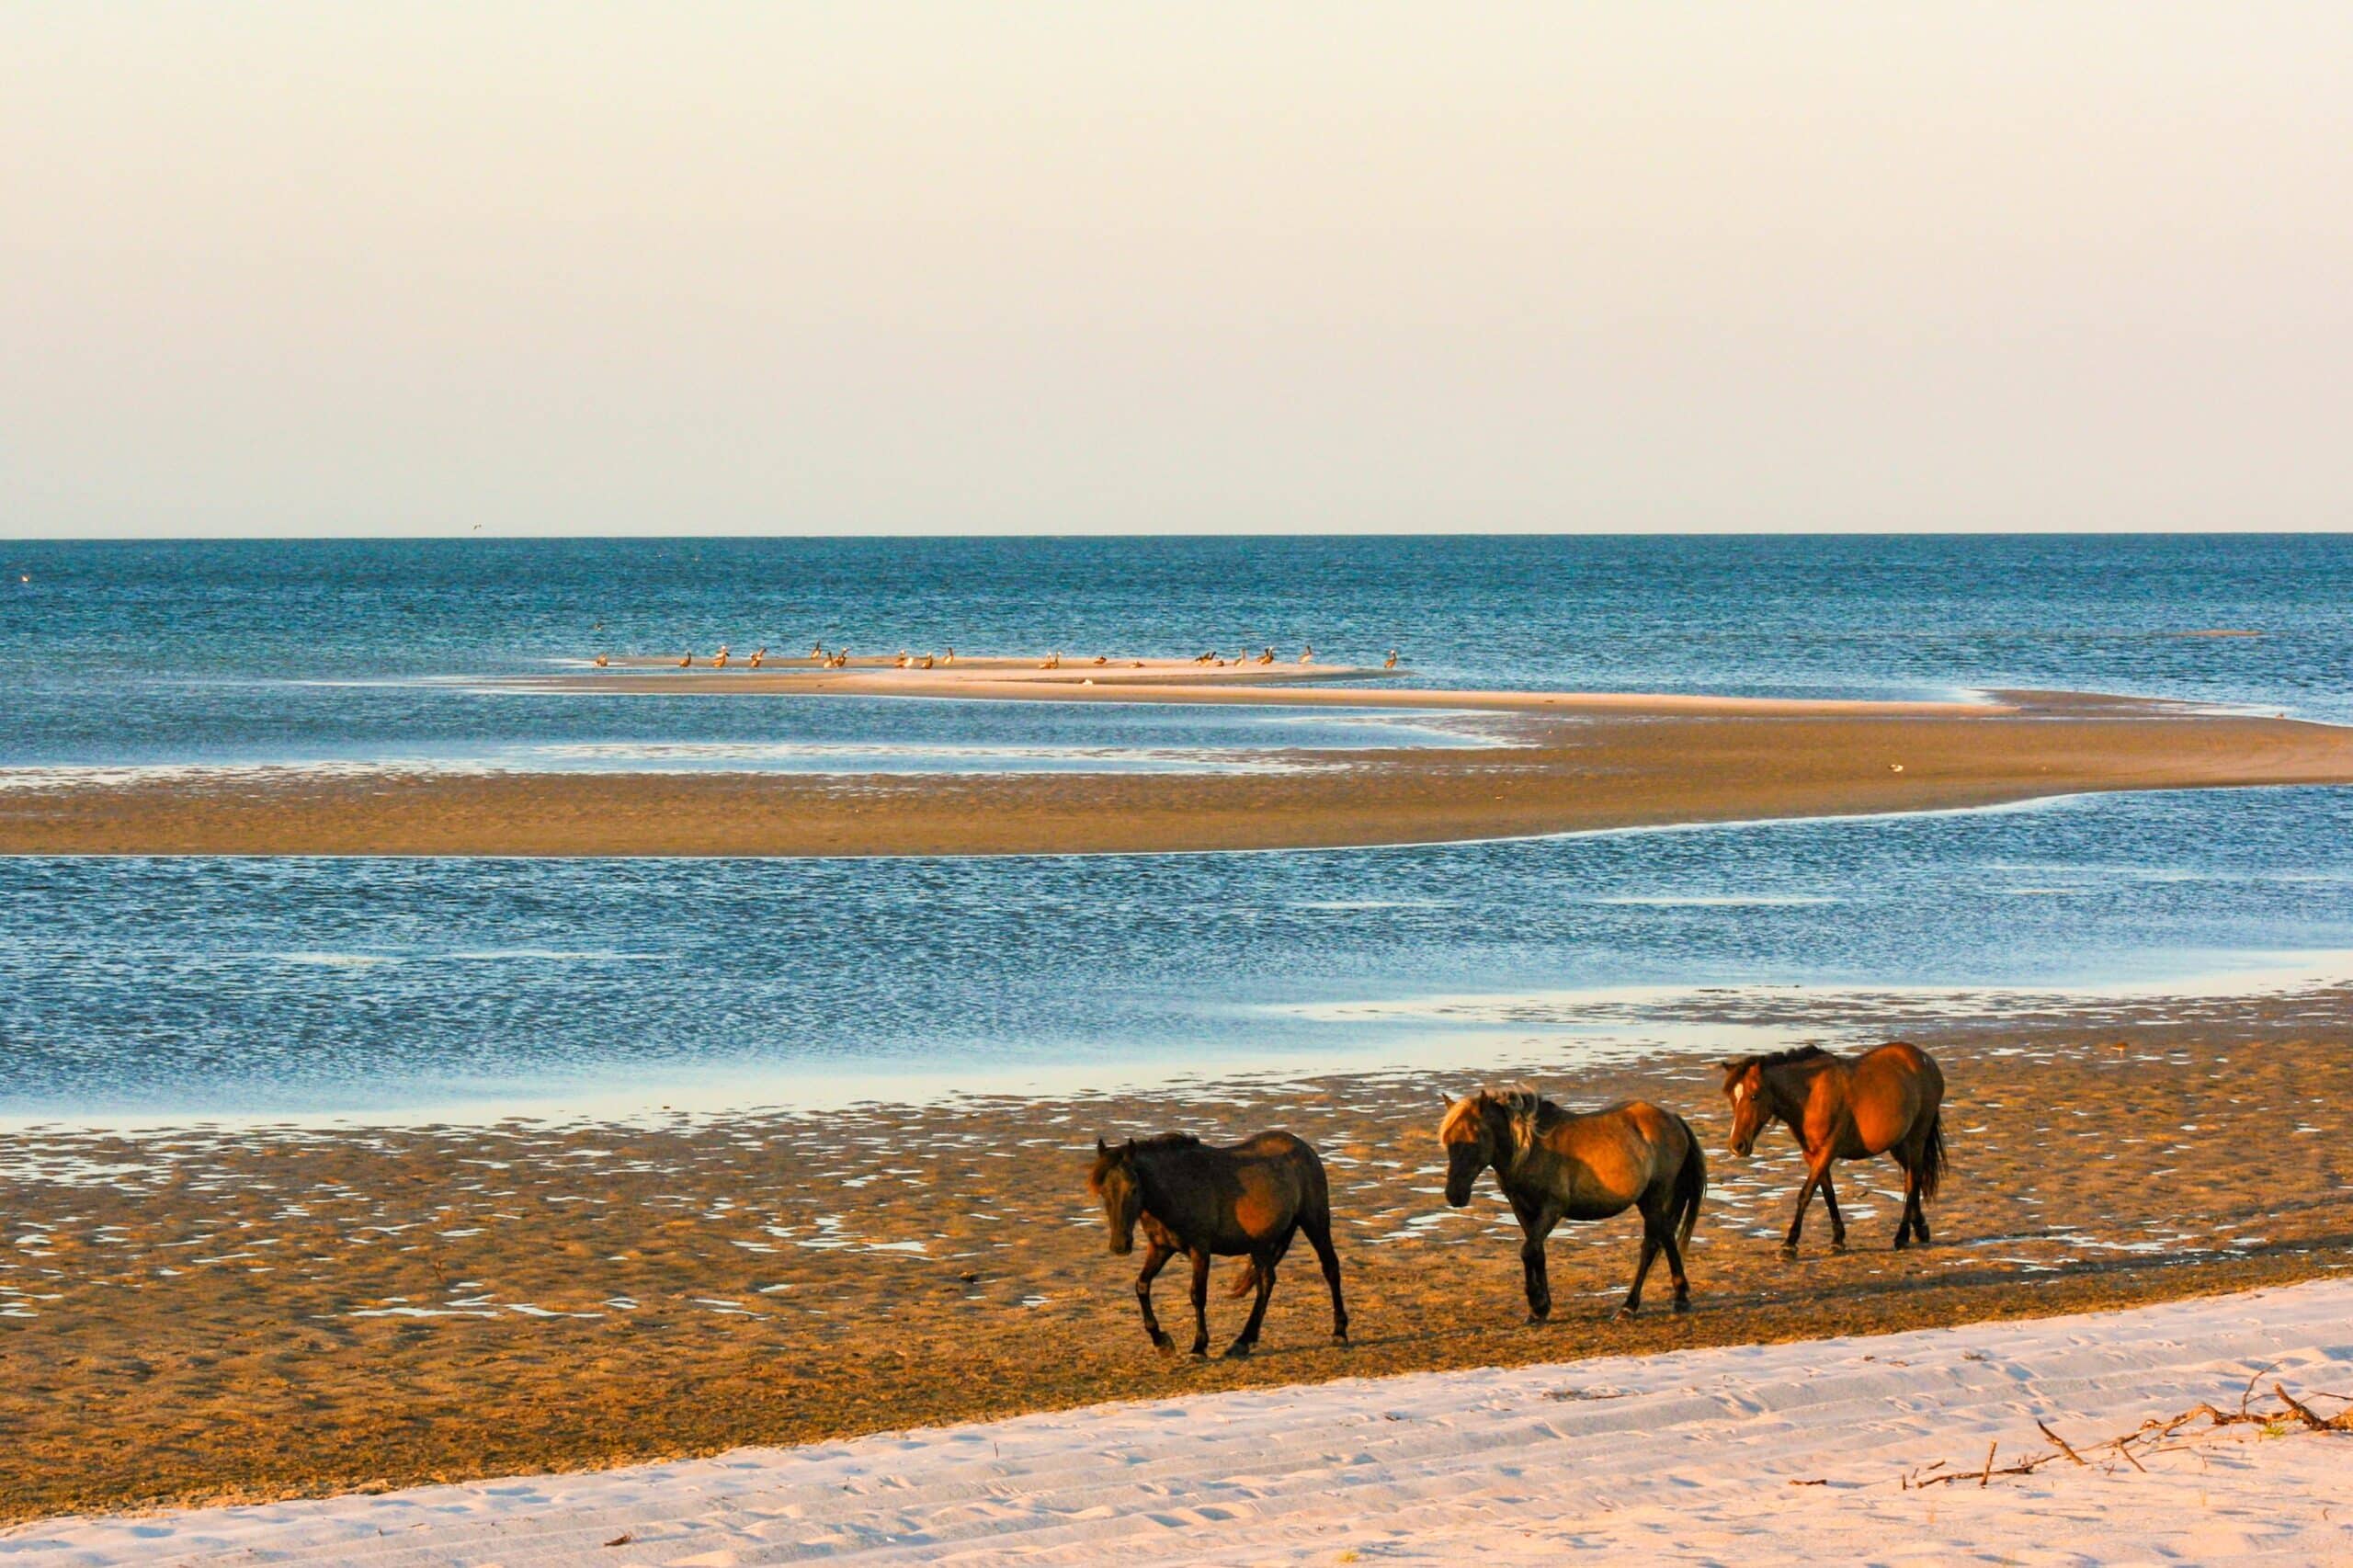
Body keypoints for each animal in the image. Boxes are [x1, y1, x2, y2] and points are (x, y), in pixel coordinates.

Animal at [1088, 1132, 1349, 1359]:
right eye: (1103, 1191)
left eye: (1133, 1189)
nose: (1120, 1245)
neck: (1177, 1186)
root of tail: (1305, 1149)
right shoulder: (1161, 1248)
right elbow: (1142, 1286)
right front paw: (1161, 1342)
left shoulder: (1200, 1250)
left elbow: (1197, 1295)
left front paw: (1198, 1348)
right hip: (1260, 1244)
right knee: (1266, 1282)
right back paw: (1243, 1341)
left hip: (1315, 1223)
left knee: (1330, 1268)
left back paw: (1339, 1332)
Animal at [1438, 1088, 1705, 1321]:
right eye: (1448, 1142)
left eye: (1474, 1139)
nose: (1454, 1195)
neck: (1531, 1148)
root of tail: (1673, 1119)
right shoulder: (1522, 1208)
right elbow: (1537, 1252)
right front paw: (1540, 1309)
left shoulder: (1552, 1208)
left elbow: (1528, 1250)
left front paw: (1536, 1304)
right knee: (1662, 1239)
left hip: (1654, 1198)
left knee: (1654, 1244)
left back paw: (1639, 1305)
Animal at [1718, 1042, 1947, 1257]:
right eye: (1732, 1098)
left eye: (1754, 1096)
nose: (1737, 1145)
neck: (1811, 1096)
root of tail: (1926, 1060)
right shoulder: (1812, 1155)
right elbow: (1828, 1194)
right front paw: (1837, 1239)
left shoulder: (1827, 1151)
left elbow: (1806, 1194)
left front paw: (1789, 1244)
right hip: (1898, 1145)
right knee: (1913, 1177)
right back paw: (1920, 1229)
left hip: (1916, 1139)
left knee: (1912, 1181)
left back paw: (1902, 1236)